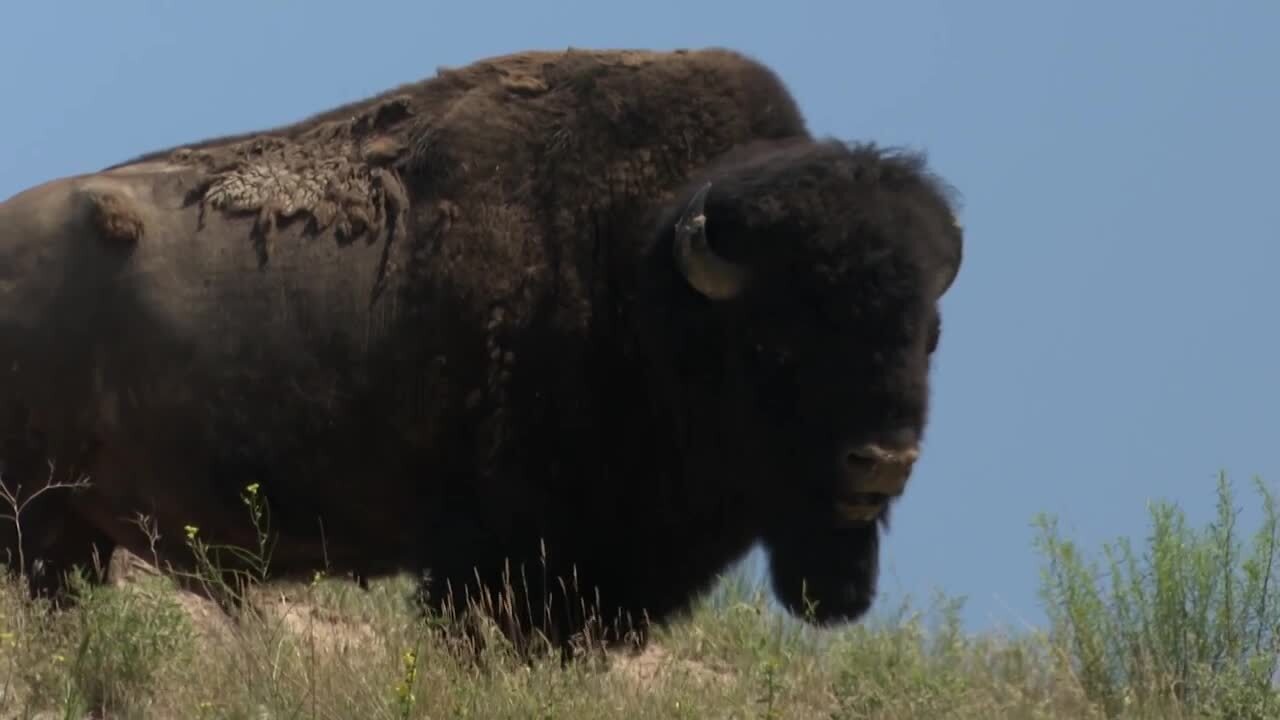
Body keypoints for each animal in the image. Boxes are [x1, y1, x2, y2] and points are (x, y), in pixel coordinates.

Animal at [0, 47, 963, 651]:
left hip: (78, 533)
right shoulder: (501, 560)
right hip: (34, 520)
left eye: (927, 333)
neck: (642, 269)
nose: (880, 463)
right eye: (779, 337)